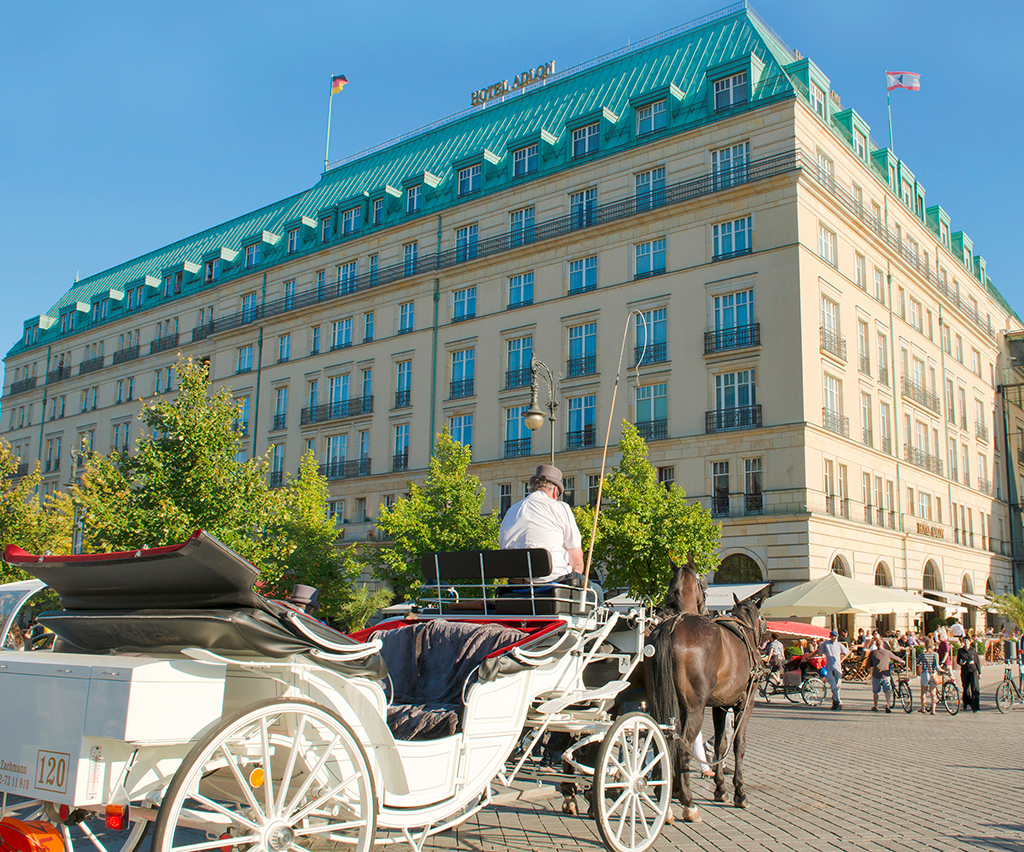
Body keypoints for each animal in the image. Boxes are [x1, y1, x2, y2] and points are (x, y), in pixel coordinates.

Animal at [643, 593, 765, 819]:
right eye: (763, 620)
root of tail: (671, 625)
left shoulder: (720, 706)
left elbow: (720, 745)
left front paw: (720, 789)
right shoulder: (746, 704)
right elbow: (739, 745)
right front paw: (739, 792)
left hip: (660, 703)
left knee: (660, 741)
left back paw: (664, 794)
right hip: (695, 709)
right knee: (683, 747)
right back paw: (688, 803)